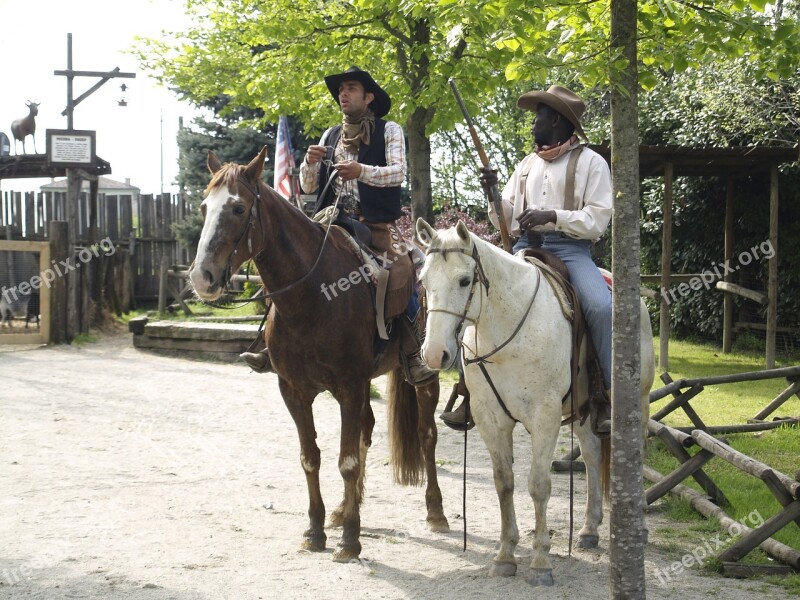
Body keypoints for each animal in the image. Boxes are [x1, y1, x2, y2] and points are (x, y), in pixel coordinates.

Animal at [189, 145, 450, 564]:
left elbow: (346, 461)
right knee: (366, 433)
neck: (311, 295)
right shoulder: (295, 391)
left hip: (424, 377)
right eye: (203, 206)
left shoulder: (349, 387)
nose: (202, 277)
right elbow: (311, 457)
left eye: (239, 209)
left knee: (426, 436)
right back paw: (345, 509)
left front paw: (349, 541)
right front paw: (316, 530)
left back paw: (435, 512)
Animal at [416, 219, 652, 584]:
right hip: (583, 414)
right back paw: (589, 529)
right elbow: (504, 484)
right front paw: (505, 556)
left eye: (465, 280)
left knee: (635, 449)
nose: (434, 354)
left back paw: (638, 526)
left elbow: (538, 485)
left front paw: (541, 561)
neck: (508, 332)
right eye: (424, 281)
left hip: (637, 404)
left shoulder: (545, 417)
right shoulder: (490, 418)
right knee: (592, 455)